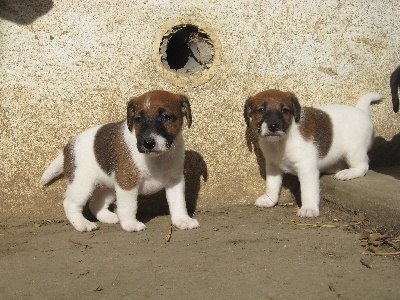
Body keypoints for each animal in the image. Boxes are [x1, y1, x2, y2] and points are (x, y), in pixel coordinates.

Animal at [39, 89, 199, 232]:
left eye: (165, 117)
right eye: (138, 119)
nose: (148, 143)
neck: (156, 158)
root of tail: (67, 148)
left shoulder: (175, 181)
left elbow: (178, 203)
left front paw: (182, 220)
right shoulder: (127, 182)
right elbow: (128, 206)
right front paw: (130, 224)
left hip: (107, 188)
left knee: (96, 204)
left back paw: (110, 218)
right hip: (81, 185)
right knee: (70, 204)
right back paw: (82, 224)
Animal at [244, 89, 382, 218]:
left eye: (285, 110)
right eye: (261, 110)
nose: (273, 126)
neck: (282, 141)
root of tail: (361, 111)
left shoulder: (306, 168)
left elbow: (308, 191)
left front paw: (309, 208)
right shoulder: (273, 166)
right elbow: (271, 185)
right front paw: (269, 200)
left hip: (354, 152)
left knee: (363, 167)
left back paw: (347, 173)